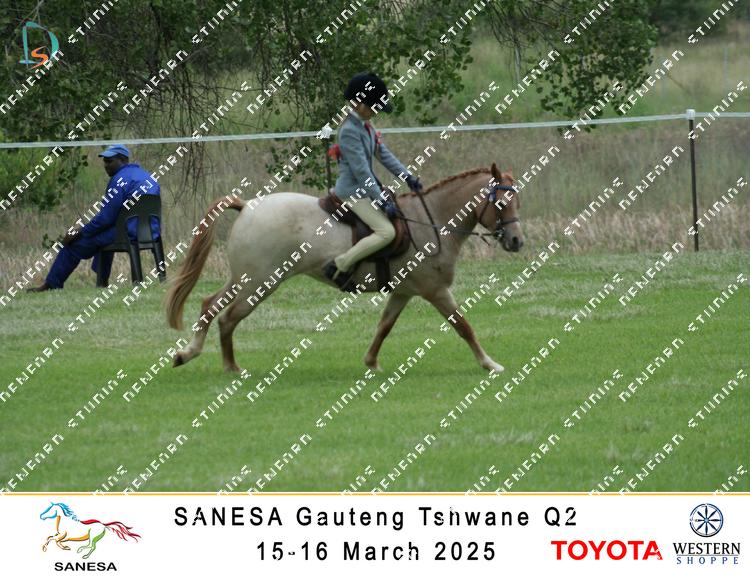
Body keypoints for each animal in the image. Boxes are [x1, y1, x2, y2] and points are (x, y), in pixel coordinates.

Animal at [165, 163, 523, 373]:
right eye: (501, 203)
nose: (517, 241)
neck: (430, 221)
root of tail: (248, 205)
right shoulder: (435, 291)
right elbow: (463, 326)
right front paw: (490, 364)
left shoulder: (404, 292)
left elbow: (384, 327)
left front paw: (371, 363)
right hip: (260, 282)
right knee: (228, 317)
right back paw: (231, 368)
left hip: (245, 278)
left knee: (210, 304)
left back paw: (189, 354)